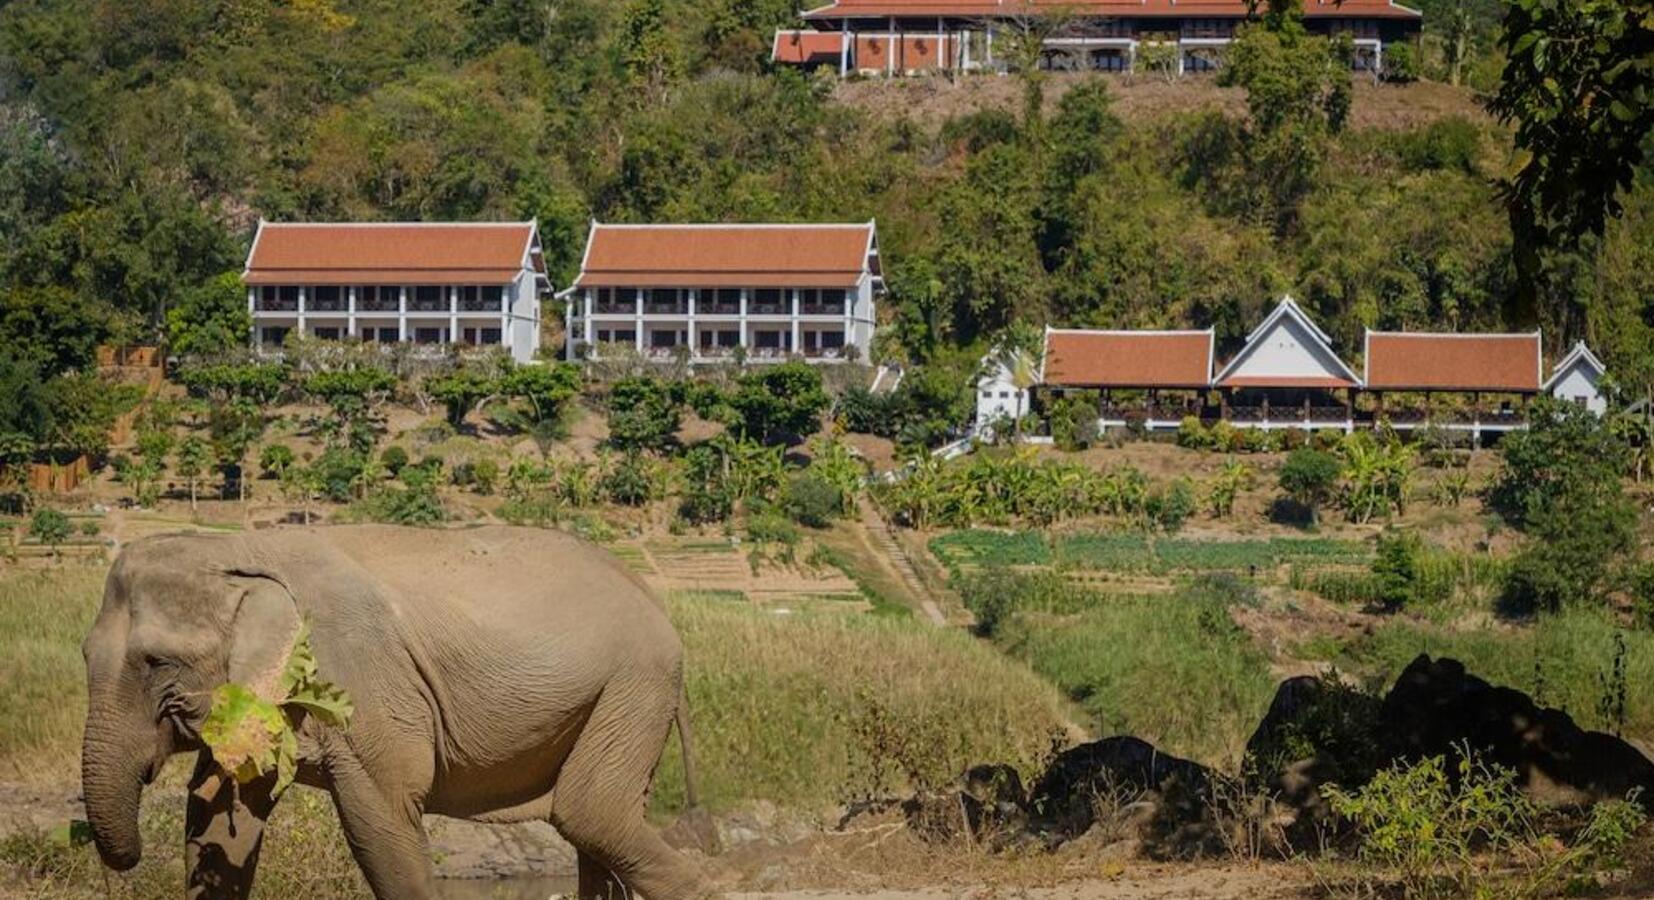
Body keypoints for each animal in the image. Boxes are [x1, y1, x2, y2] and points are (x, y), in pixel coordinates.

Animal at [82, 522, 717, 893]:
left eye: (156, 663)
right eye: (85, 655)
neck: (236, 547)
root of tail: (647, 591)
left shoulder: (363, 680)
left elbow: (383, 814)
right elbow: (216, 815)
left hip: (634, 684)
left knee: (590, 814)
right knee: (599, 826)